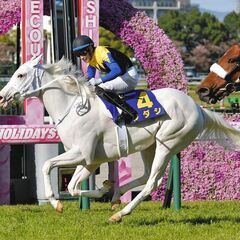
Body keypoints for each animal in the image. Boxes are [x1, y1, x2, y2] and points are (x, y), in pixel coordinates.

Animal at [0, 55, 240, 222]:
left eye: (20, 75)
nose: (3, 96)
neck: (73, 107)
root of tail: (198, 108)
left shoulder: (81, 153)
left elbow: (47, 165)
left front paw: (56, 203)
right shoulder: (90, 159)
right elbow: (73, 187)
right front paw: (103, 188)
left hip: (168, 143)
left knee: (152, 182)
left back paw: (120, 213)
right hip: (149, 146)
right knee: (145, 175)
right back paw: (116, 196)